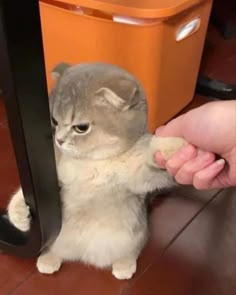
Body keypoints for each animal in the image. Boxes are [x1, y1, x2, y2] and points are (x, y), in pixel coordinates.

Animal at [6, 62, 186, 280]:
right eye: (54, 121)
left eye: (81, 127)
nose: (59, 140)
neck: (91, 163)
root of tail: (84, 254)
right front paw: (19, 212)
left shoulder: (138, 175)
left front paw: (172, 146)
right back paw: (48, 258)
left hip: (133, 237)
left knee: (133, 250)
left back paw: (124, 264)